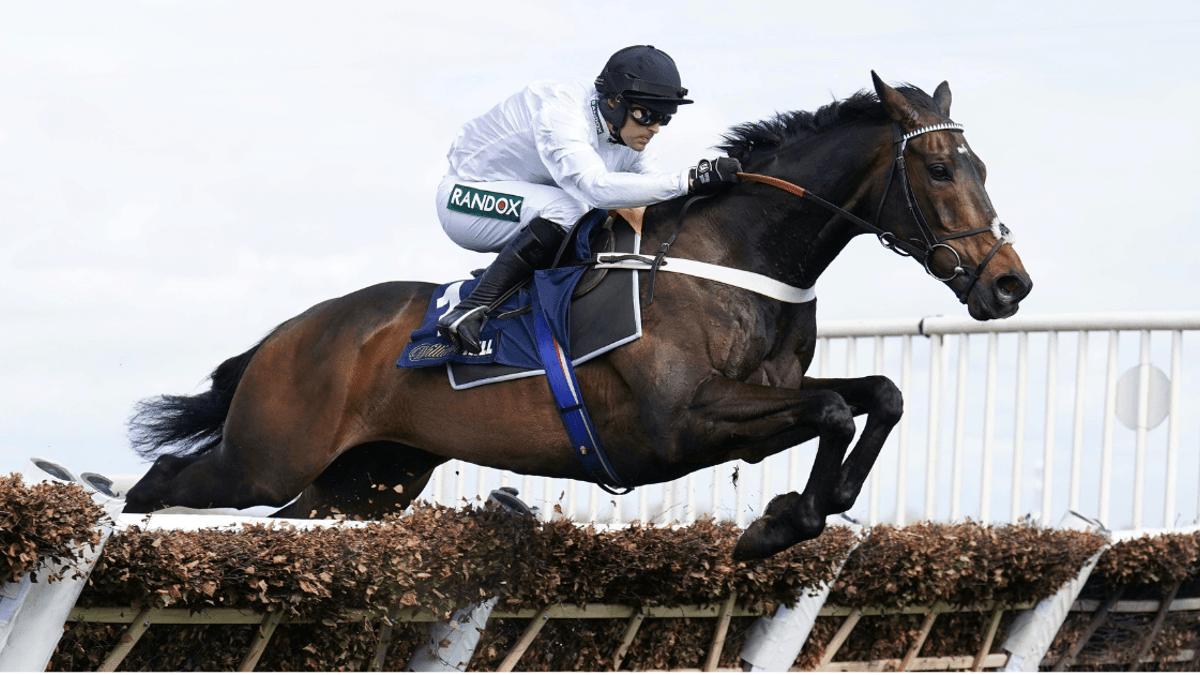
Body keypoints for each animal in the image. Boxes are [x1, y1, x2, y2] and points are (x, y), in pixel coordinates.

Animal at [125, 73, 1031, 560]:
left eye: (984, 166)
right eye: (941, 168)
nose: (1009, 285)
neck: (735, 255)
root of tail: (287, 334)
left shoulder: (758, 406)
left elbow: (876, 395)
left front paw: (807, 508)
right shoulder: (682, 422)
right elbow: (838, 407)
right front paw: (777, 526)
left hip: (362, 481)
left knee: (284, 520)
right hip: (267, 456)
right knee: (163, 479)